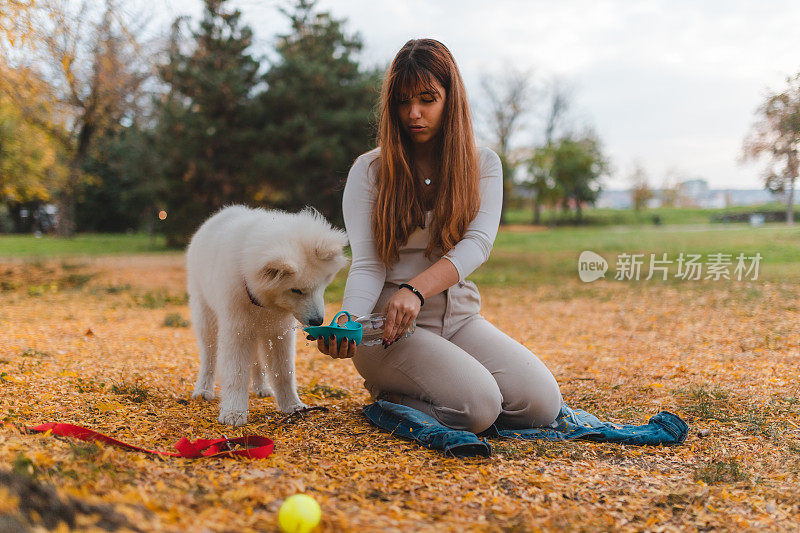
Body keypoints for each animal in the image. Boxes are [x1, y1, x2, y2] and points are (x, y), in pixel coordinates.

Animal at [189, 204, 352, 424]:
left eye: (322, 284)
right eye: (296, 290)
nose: (318, 321)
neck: (261, 302)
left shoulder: (278, 332)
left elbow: (284, 372)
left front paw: (293, 406)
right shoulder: (237, 330)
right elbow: (236, 372)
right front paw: (233, 413)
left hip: (258, 331)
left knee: (257, 361)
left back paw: (262, 387)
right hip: (207, 317)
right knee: (209, 356)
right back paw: (203, 390)